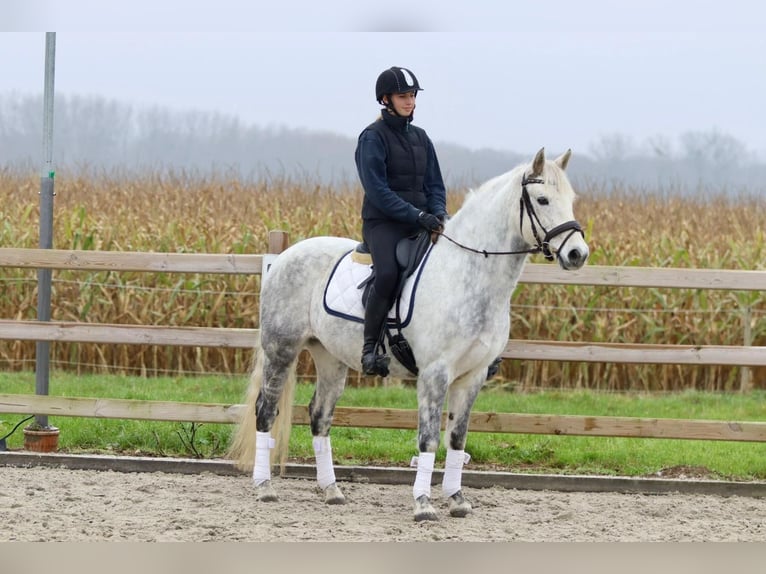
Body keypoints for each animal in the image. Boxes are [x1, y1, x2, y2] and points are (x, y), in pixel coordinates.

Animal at [231, 147, 592, 520]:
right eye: (543, 199)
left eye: (571, 199)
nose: (577, 254)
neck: (469, 275)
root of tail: (285, 256)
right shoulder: (435, 373)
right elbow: (429, 438)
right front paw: (423, 504)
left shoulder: (473, 375)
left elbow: (457, 438)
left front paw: (457, 499)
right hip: (282, 350)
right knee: (266, 410)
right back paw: (265, 487)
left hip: (330, 357)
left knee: (320, 416)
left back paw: (332, 491)